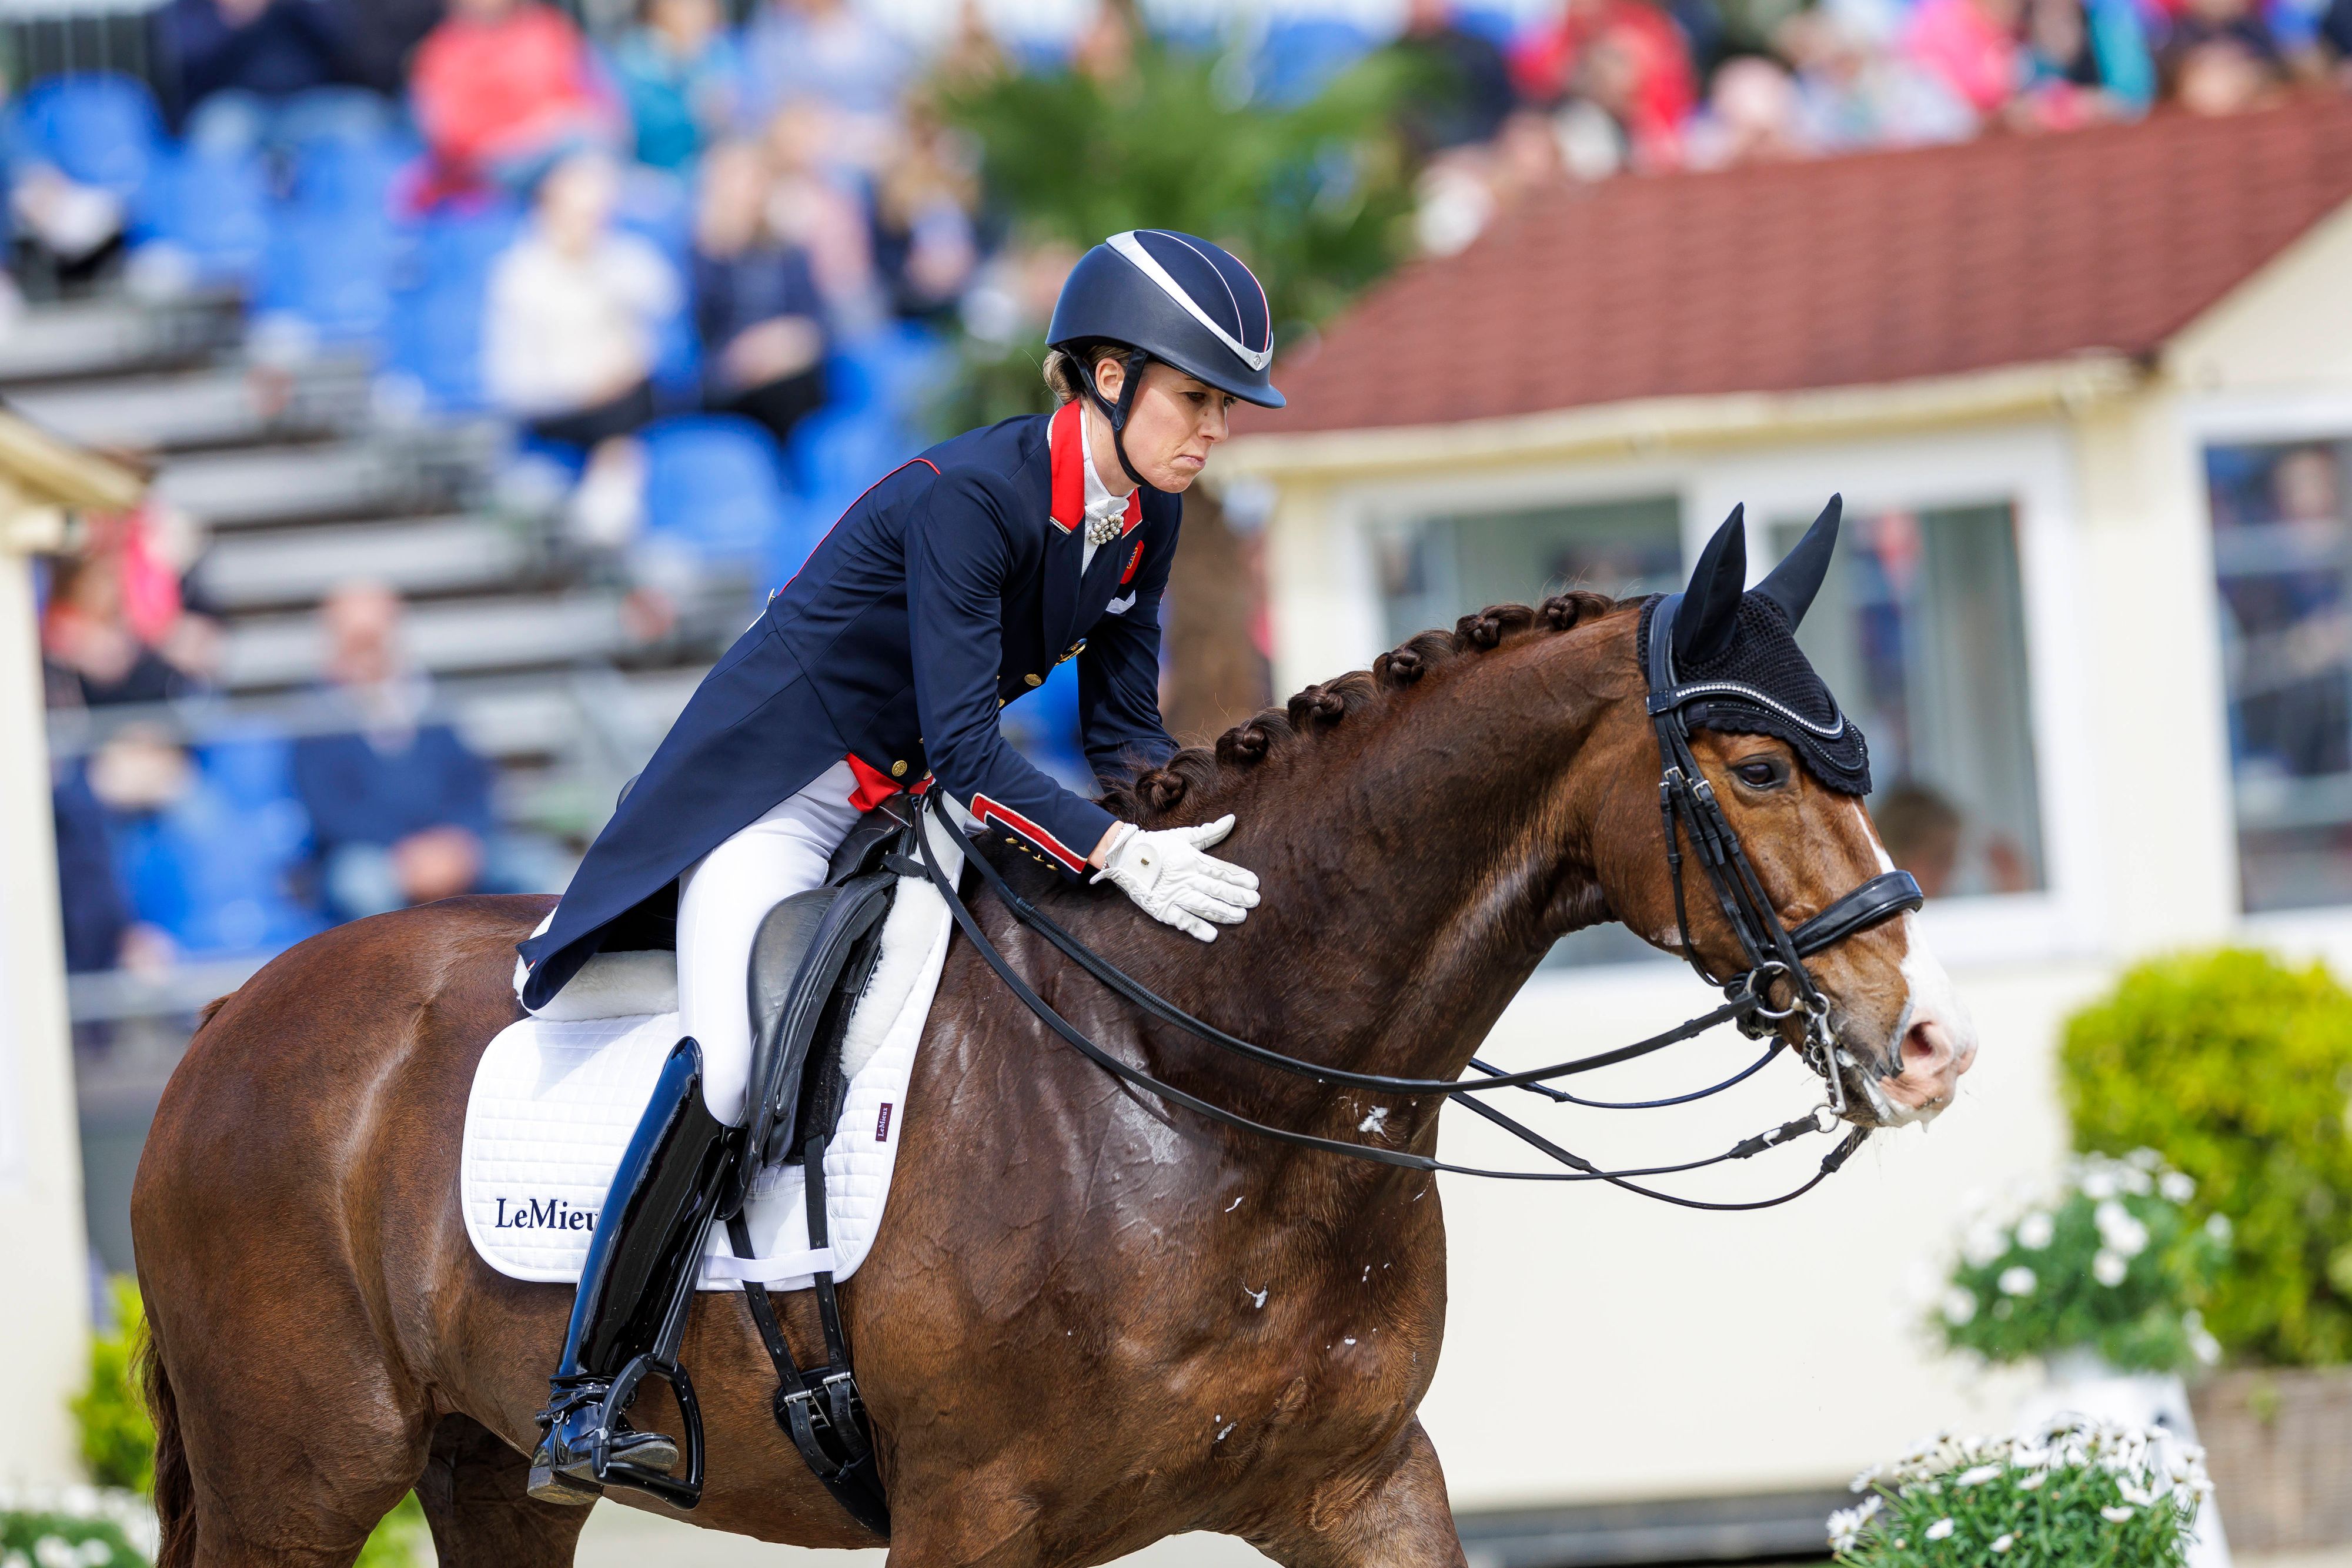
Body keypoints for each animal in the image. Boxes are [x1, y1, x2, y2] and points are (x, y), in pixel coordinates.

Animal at [124, 587, 1966, 1568]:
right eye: (1754, 766)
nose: (1924, 1041)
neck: (1203, 1085)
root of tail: (225, 1020)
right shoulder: (970, 1516)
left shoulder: (1360, 1482)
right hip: (304, 1473)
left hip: (487, 1473)